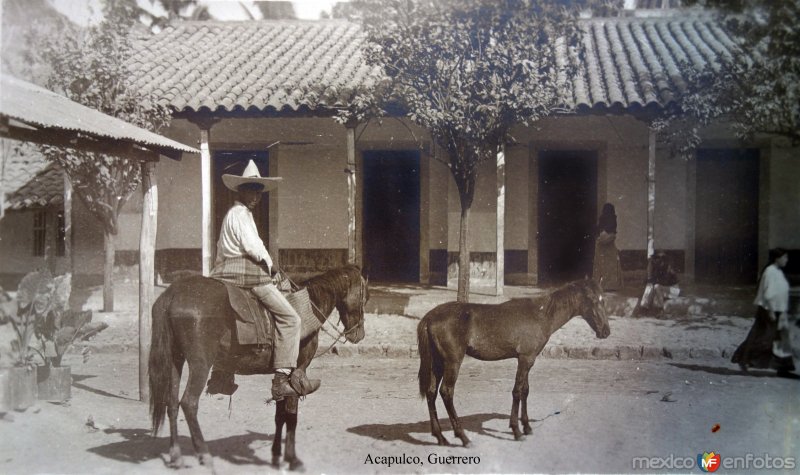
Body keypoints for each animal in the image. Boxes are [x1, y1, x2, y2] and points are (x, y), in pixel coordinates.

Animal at [148, 266, 368, 470]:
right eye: (364, 297)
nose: (359, 334)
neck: (309, 305)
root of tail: (173, 293)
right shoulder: (296, 374)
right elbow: (291, 417)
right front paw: (292, 459)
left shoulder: (283, 380)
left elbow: (280, 416)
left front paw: (276, 455)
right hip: (200, 363)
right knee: (189, 403)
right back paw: (204, 455)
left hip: (175, 360)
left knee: (172, 404)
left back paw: (176, 456)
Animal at [416, 278, 608, 446]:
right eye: (592, 300)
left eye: (603, 299)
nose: (606, 331)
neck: (541, 313)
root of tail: (429, 317)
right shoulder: (525, 359)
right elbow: (517, 391)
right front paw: (517, 431)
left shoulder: (528, 359)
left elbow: (525, 390)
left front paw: (527, 427)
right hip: (452, 362)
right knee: (446, 392)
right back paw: (463, 438)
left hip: (437, 363)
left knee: (431, 393)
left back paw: (440, 437)